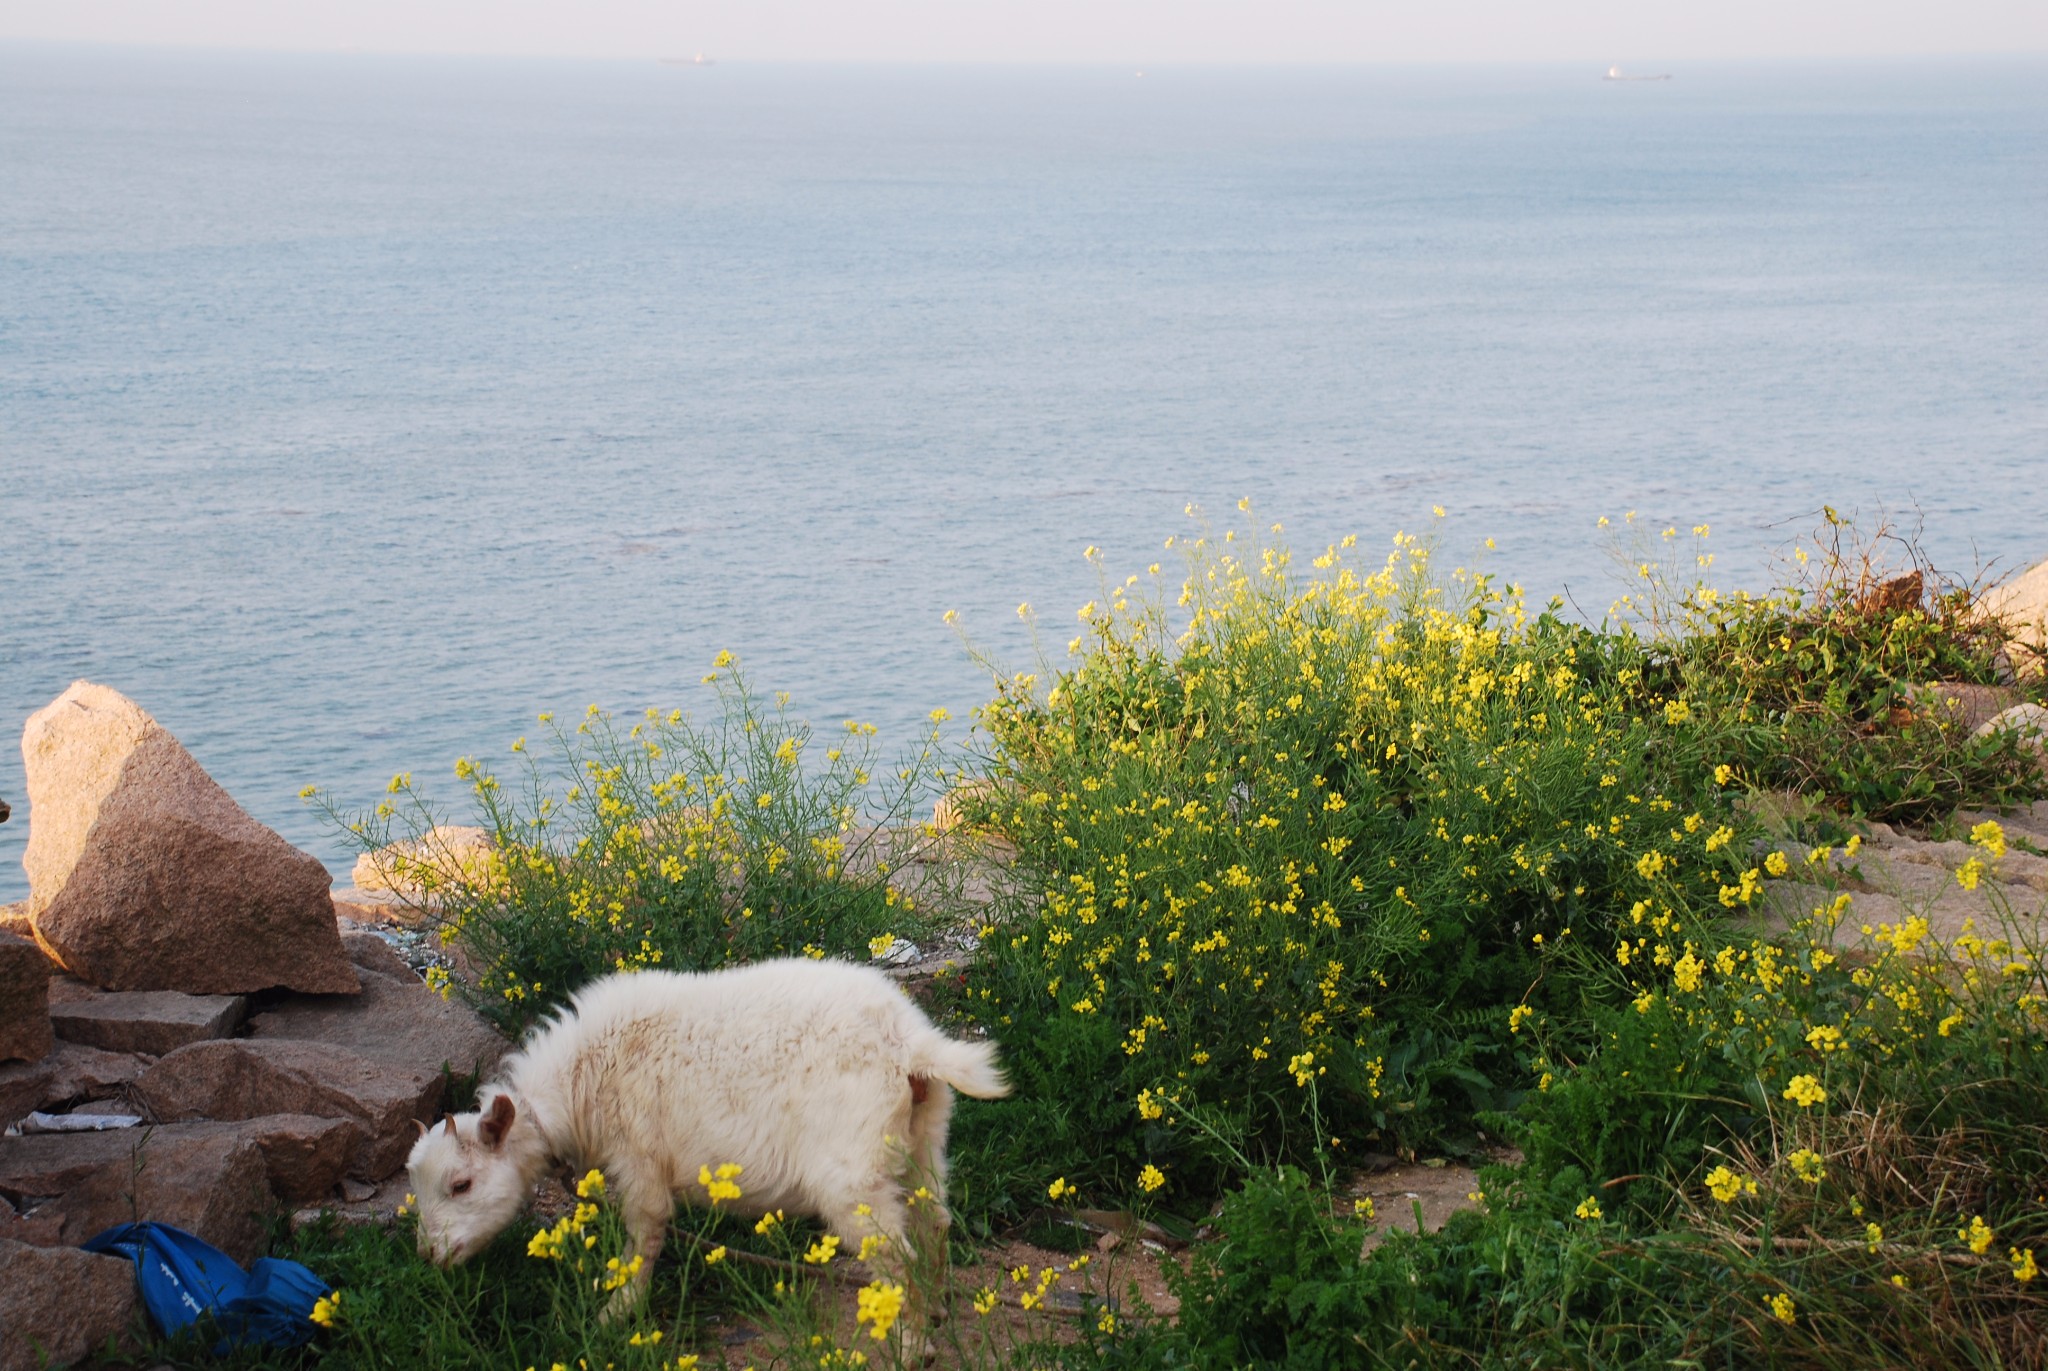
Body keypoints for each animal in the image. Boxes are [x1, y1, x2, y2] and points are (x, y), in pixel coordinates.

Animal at [405, 950, 1007, 1311]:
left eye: (460, 1184)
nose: (429, 1257)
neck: (579, 1081)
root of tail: (907, 1041)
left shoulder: (638, 1159)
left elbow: (646, 1235)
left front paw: (616, 1315)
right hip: (925, 1140)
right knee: (935, 1228)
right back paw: (935, 1318)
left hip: (853, 1177)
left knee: (897, 1261)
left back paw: (909, 1344)